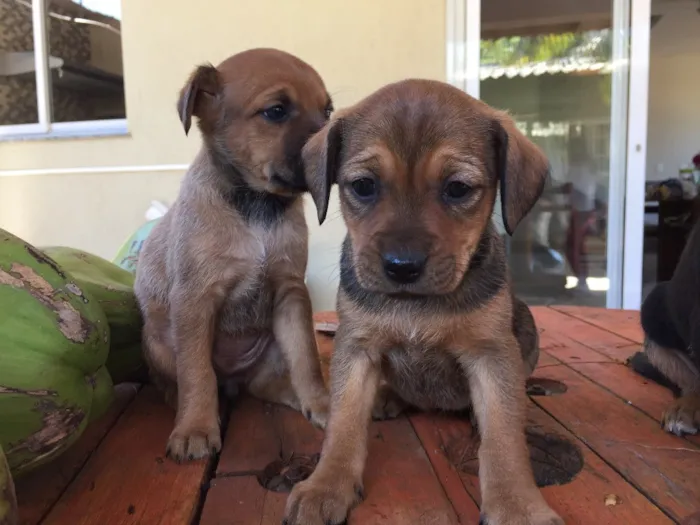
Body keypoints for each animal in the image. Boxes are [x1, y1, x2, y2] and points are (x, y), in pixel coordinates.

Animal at [137, 48, 334, 458]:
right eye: (276, 111)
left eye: (327, 111)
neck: (257, 210)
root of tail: (234, 380)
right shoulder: (195, 300)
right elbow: (197, 374)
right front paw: (195, 427)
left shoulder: (291, 293)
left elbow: (307, 359)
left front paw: (322, 403)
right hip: (158, 342)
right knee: (182, 381)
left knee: (264, 384)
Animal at [284, 79, 564, 524]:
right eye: (363, 186)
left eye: (458, 189)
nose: (402, 267)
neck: (417, 303)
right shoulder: (357, 347)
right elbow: (343, 424)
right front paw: (326, 485)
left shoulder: (492, 353)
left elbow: (503, 438)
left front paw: (517, 504)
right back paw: (388, 396)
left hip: (526, 327)